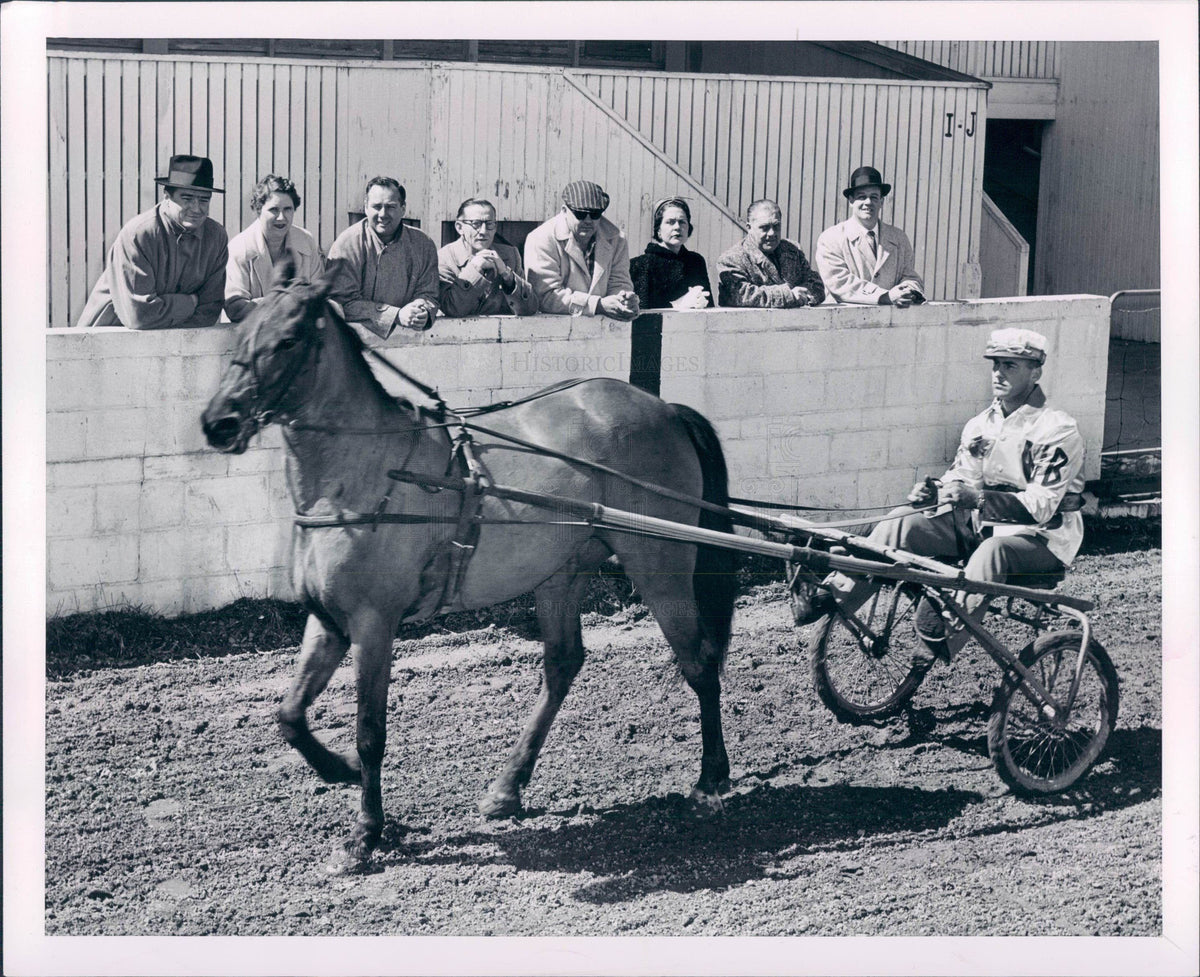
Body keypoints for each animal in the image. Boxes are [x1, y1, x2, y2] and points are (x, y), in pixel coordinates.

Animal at [201, 260, 734, 873]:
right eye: (241, 331)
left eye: (288, 340)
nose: (218, 423)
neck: (364, 475)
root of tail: (664, 409)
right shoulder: (328, 620)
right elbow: (289, 715)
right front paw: (340, 772)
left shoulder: (373, 624)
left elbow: (370, 731)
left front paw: (365, 833)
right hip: (561, 573)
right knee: (563, 664)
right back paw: (508, 787)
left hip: (659, 563)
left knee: (699, 661)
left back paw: (709, 783)